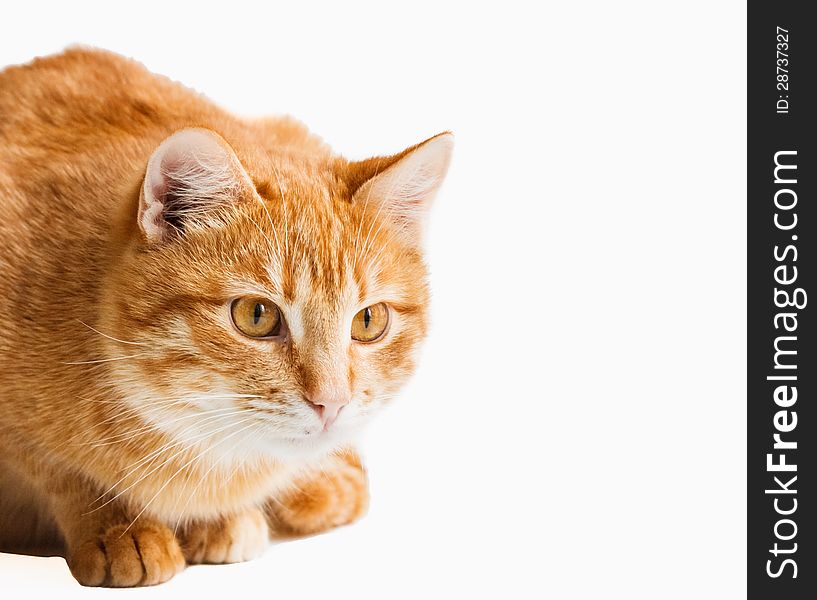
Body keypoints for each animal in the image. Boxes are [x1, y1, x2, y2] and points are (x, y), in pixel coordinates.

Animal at [0, 49, 450, 588]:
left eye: (368, 322)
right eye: (256, 315)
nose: (332, 403)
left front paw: (221, 519)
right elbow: (60, 472)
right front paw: (118, 527)